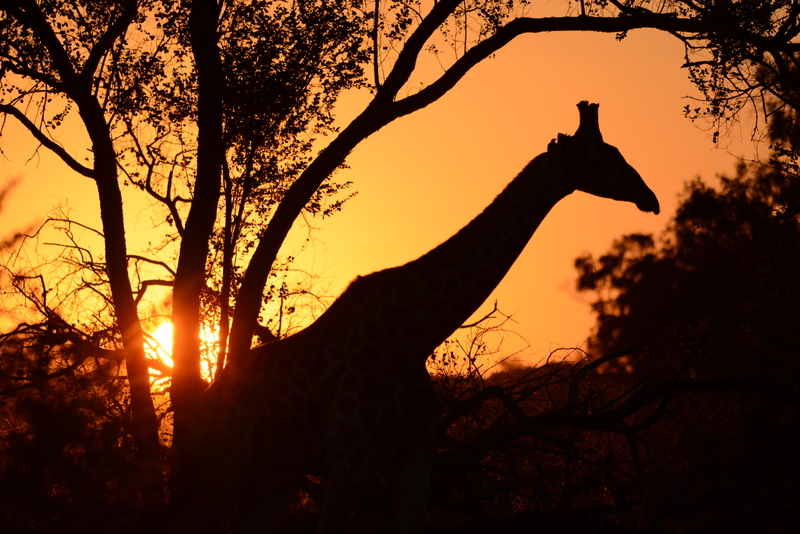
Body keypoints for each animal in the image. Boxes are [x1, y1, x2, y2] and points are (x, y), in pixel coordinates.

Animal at [193, 101, 660, 533]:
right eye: (600, 158)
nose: (650, 198)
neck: (414, 336)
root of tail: (208, 396)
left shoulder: (415, 456)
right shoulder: (350, 463)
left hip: (273, 472)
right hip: (225, 465)